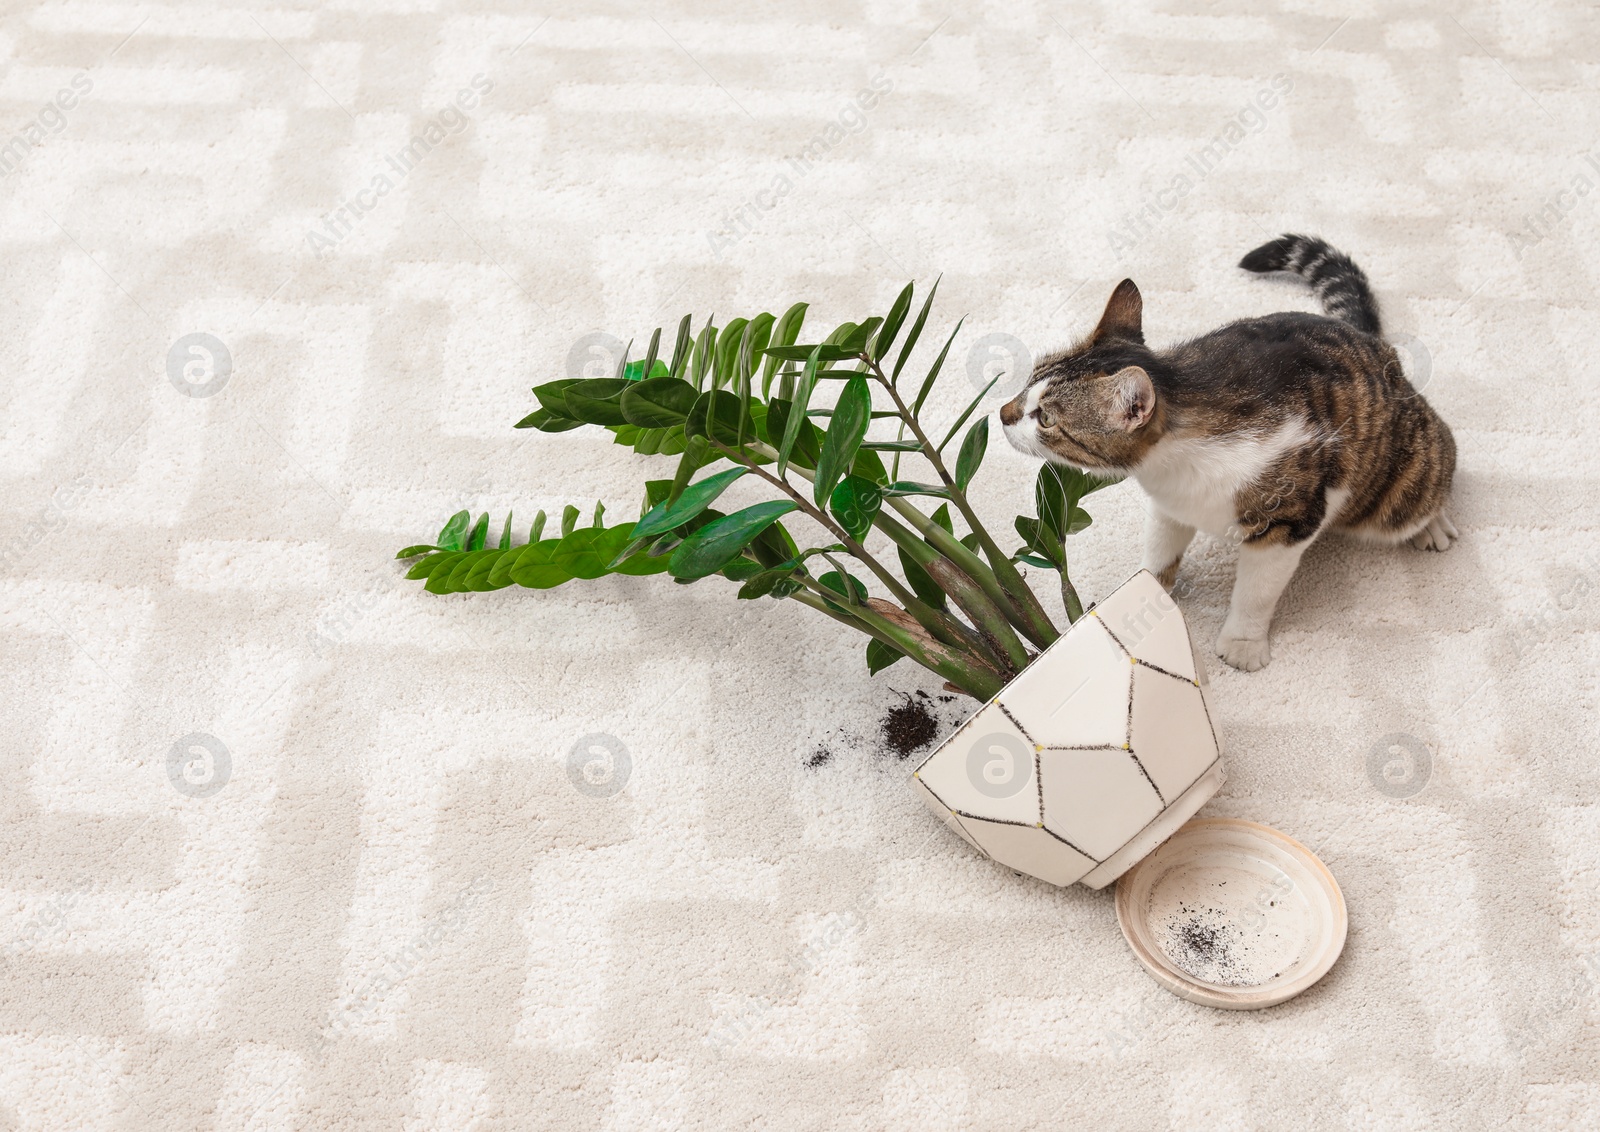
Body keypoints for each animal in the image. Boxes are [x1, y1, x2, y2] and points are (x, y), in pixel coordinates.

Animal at [1004, 233, 1459, 668]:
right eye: (1028, 381)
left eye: (1045, 418)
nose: (1003, 414)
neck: (1175, 464)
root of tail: (1370, 341)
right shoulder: (1169, 507)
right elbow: (1160, 552)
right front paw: (1143, 594)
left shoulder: (1287, 522)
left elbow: (1256, 593)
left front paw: (1243, 643)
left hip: (1404, 481)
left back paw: (1433, 525)